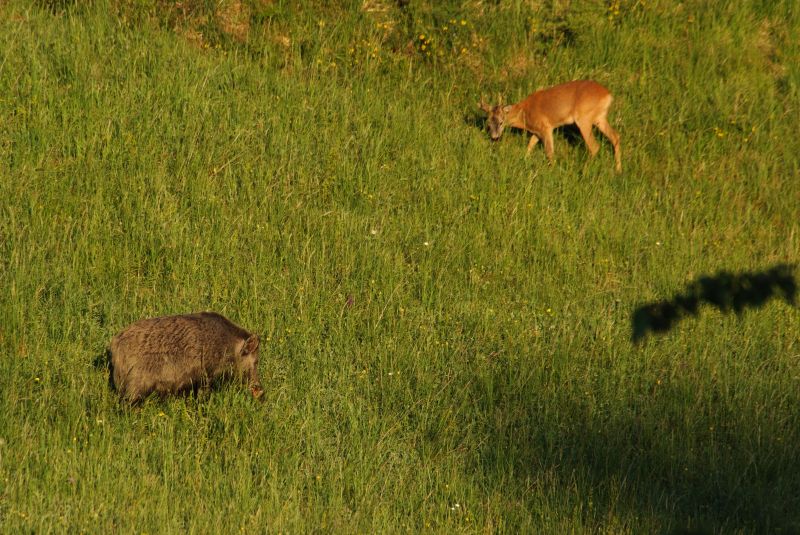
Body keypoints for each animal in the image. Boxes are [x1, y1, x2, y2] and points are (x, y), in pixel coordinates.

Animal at [109, 312, 264, 404]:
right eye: (255, 361)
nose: (260, 390)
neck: (227, 347)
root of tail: (115, 346)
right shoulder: (205, 374)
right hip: (136, 383)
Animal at [478, 79, 620, 171]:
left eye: (501, 122)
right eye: (488, 122)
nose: (494, 137)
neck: (525, 113)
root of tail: (608, 95)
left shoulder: (546, 127)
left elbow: (549, 152)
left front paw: (551, 171)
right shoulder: (537, 131)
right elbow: (530, 146)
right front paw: (524, 160)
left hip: (584, 119)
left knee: (594, 146)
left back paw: (583, 172)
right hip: (599, 118)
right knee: (616, 137)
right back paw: (618, 170)